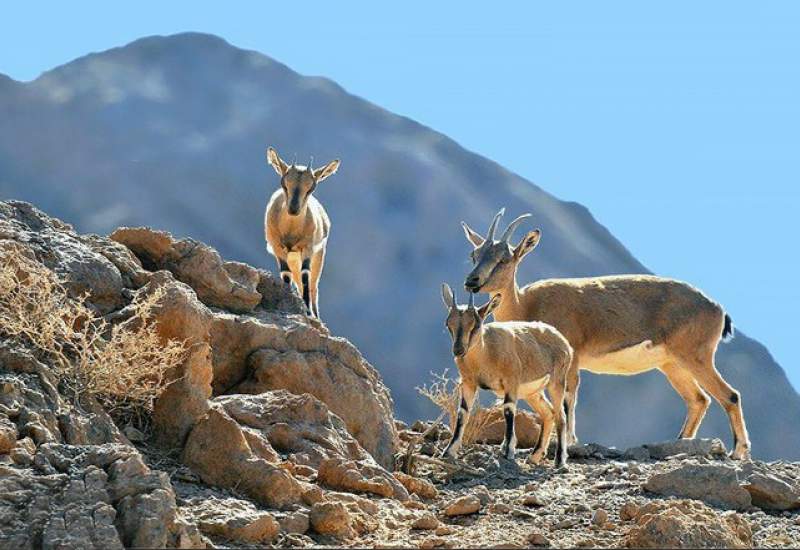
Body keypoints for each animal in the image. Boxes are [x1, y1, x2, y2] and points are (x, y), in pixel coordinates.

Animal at [262, 148, 338, 320]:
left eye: (311, 188)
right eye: (283, 183)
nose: (293, 209)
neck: (290, 231)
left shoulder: (308, 248)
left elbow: (305, 275)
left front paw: (308, 312)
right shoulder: (277, 247)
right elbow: (286, 274)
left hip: (318, 254)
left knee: (313, 285)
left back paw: (315, 314)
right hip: (293, 257)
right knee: (297, 279)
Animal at [438, 284, 576, 470]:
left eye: (475, 325)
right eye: (448, 324)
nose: (458, 350)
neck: (486, 353)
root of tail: (564, 343)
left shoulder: (511, 382)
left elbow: (509, 411)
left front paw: (508, 451)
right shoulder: (468, 383)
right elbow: (462, 413)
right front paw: (449, 451)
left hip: (557, 382)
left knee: (560, 416)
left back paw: (560, 460)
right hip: (532, 392)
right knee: (548, 413)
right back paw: (534, 456)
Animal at [460, 210, 752, 462]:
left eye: (504, 259)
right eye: (474, 254)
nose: (471, 281)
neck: (526, 305)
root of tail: (718, 309)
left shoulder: (572, 358)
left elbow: (568, 398)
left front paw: (569, 443)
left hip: (695, 357)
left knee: (730, 395)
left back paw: (738, 451)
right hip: (671, 364)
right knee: (699, 400)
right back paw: (681, 443)